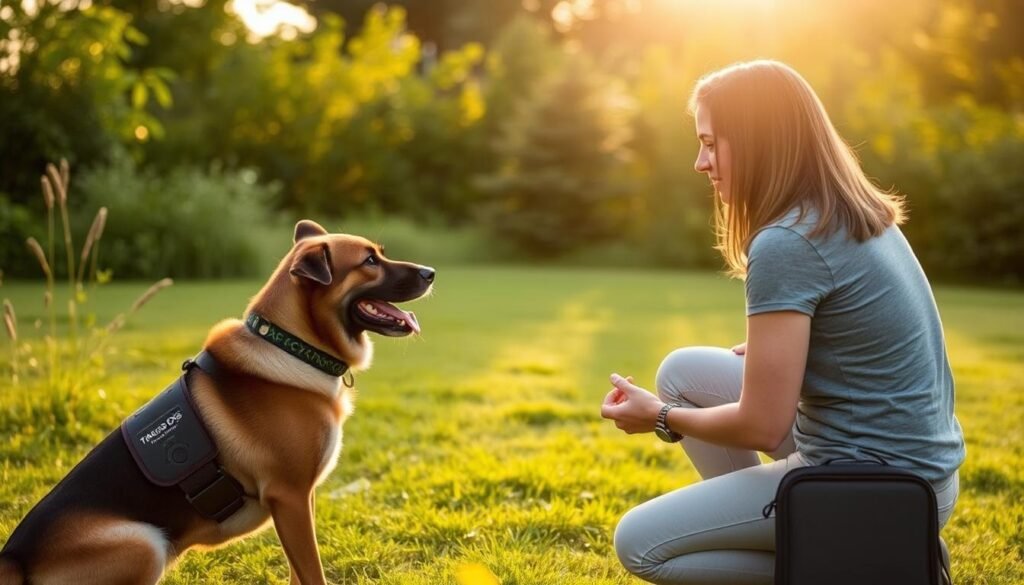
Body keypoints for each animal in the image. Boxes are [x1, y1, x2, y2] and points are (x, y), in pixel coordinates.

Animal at [0, 221, 434, 585]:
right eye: (369, 262)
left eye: (379, 253)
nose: (431, 272)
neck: (292, 348)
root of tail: (15, 560)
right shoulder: (290, 498)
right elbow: (311, 572)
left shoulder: (301, 501)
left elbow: (298, 572)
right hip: (144, 543)